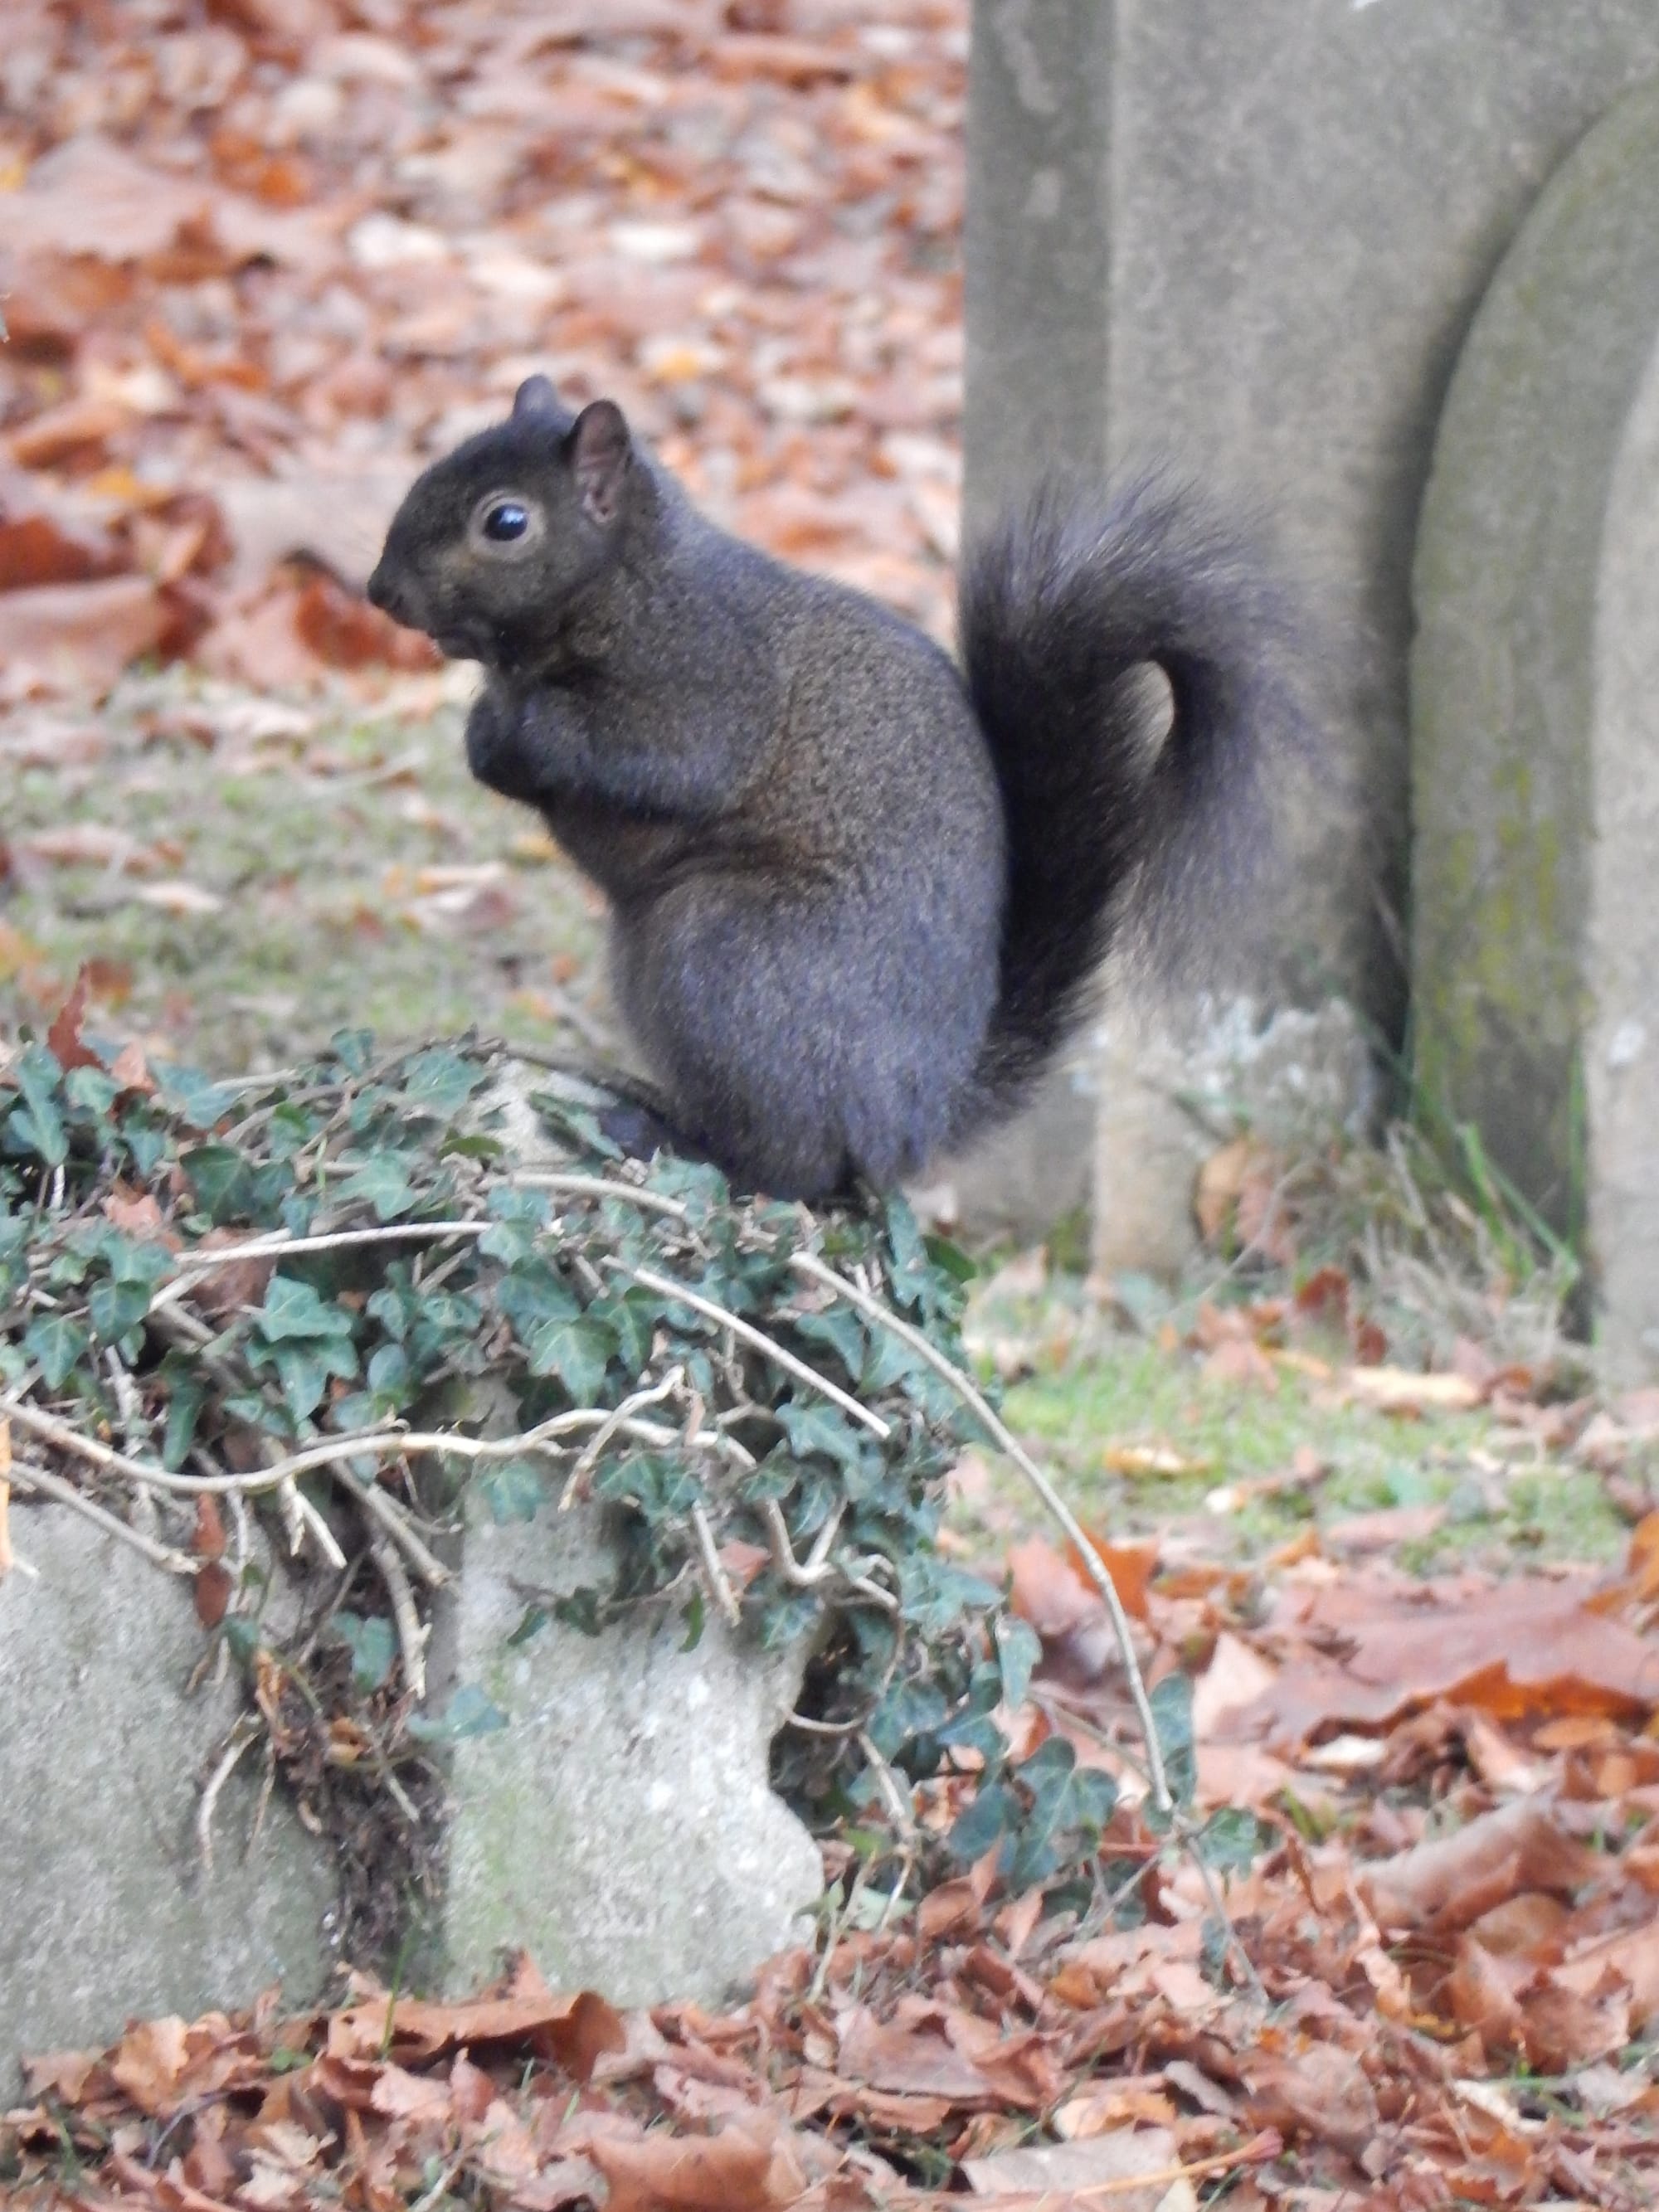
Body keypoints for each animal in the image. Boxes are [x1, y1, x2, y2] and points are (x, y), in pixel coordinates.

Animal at [366, 374, 1291, 1201]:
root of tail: (913, 1118)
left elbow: (657, 755)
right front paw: (483, 734)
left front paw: (514, 732)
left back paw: (676, 1144)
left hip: (721, 955)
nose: (380, 591)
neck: (629, 582)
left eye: (506, 522)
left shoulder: (708, 680)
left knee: (798, 1169)